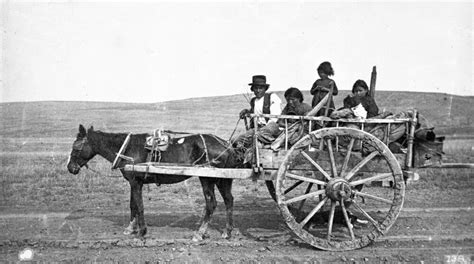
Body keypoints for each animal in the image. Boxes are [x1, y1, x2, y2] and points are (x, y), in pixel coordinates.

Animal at [65, 125, 241, 242]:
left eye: (76, 146)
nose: (70, 168)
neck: (126, 149)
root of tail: (226, 144)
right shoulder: (134, 183)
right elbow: (132, 205)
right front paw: (131, 228)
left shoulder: (136, 182)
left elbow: (139, 206)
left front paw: (142, 232)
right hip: (223, 179)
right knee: (228, 200)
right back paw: (227, 231)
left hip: (207, 178)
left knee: (211, 203)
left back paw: (199, 234)